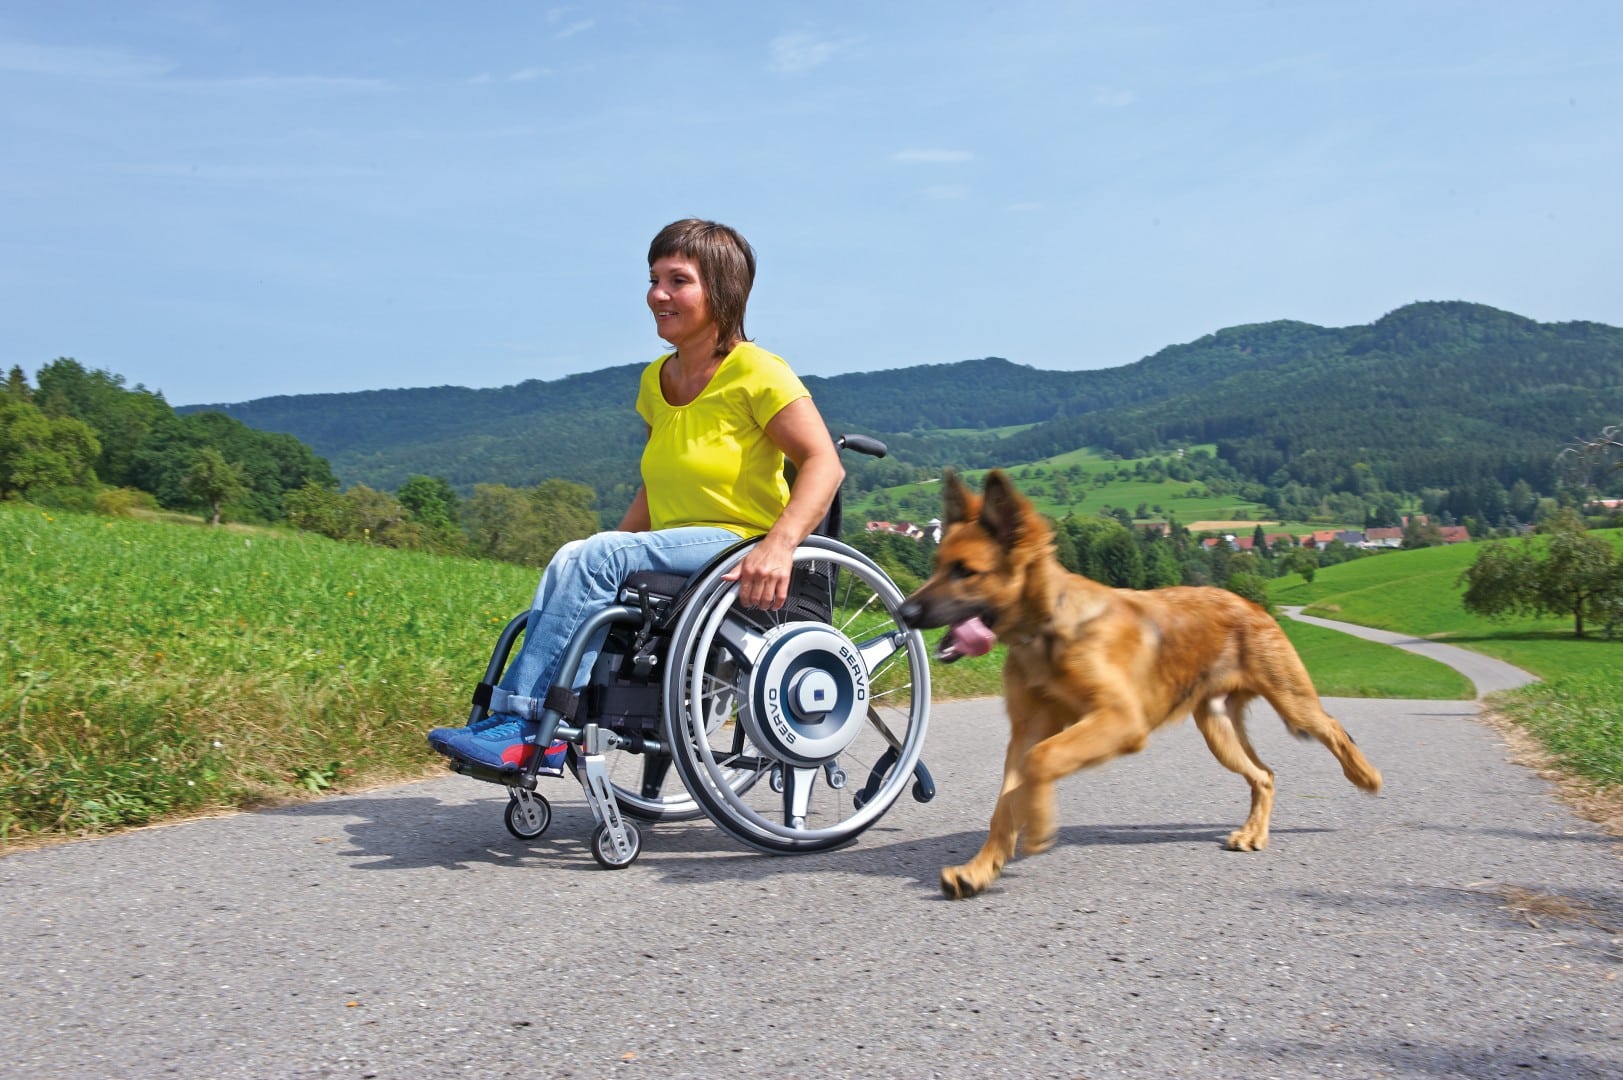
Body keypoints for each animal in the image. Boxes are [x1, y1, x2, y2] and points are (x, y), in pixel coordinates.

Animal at [902, 470, 1382, 902]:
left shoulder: (1118, 719)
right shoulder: (1027, 730)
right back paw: (1252, 834)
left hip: (1291, 701)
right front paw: (980, 870)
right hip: (1218, 729)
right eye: (938, 565)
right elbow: (1005, 803)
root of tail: (1252, 603)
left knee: (1333, 728)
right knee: (1264, 775)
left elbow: (1043, 761)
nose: (905, 613)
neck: (1046, 628)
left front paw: (1037, 825)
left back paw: (1365, 776)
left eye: (965, 572)